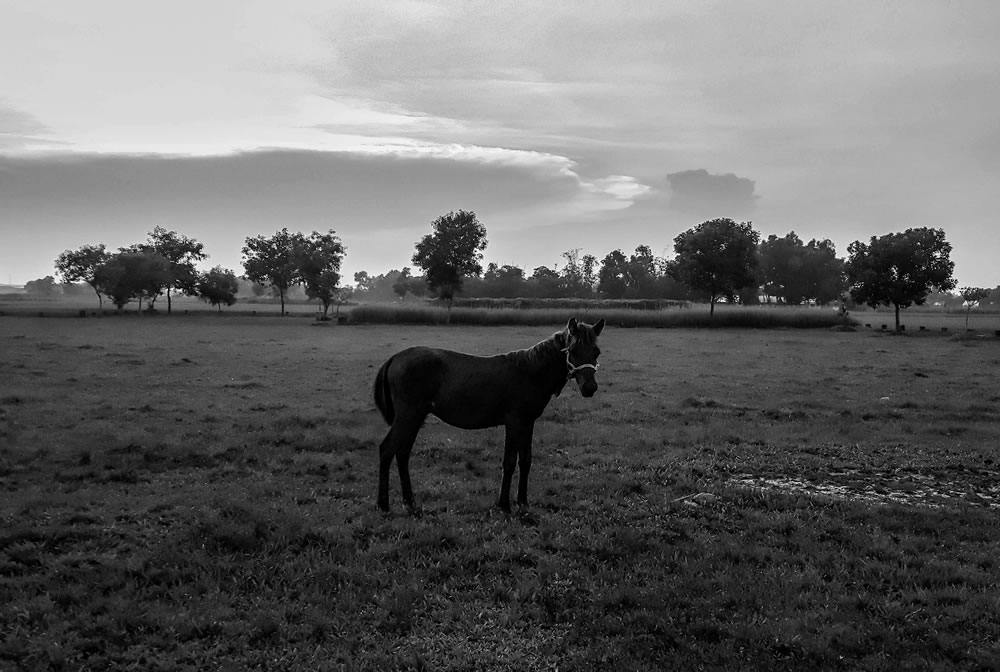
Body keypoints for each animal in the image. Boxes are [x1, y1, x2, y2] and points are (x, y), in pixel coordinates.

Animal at [374, 318, 600, 512]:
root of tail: (394, 358)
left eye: (596, 351)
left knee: (402, 453)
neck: (529, 372)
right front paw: (504, 504)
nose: (590, 388)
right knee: (387, 450)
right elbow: (509, 462)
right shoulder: (514, 423)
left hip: (415, 418)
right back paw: (383, 503)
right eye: (573, 350)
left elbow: (525, 460)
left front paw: (523, 502)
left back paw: (410, 502)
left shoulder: (528, 423)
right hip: (408, 416)